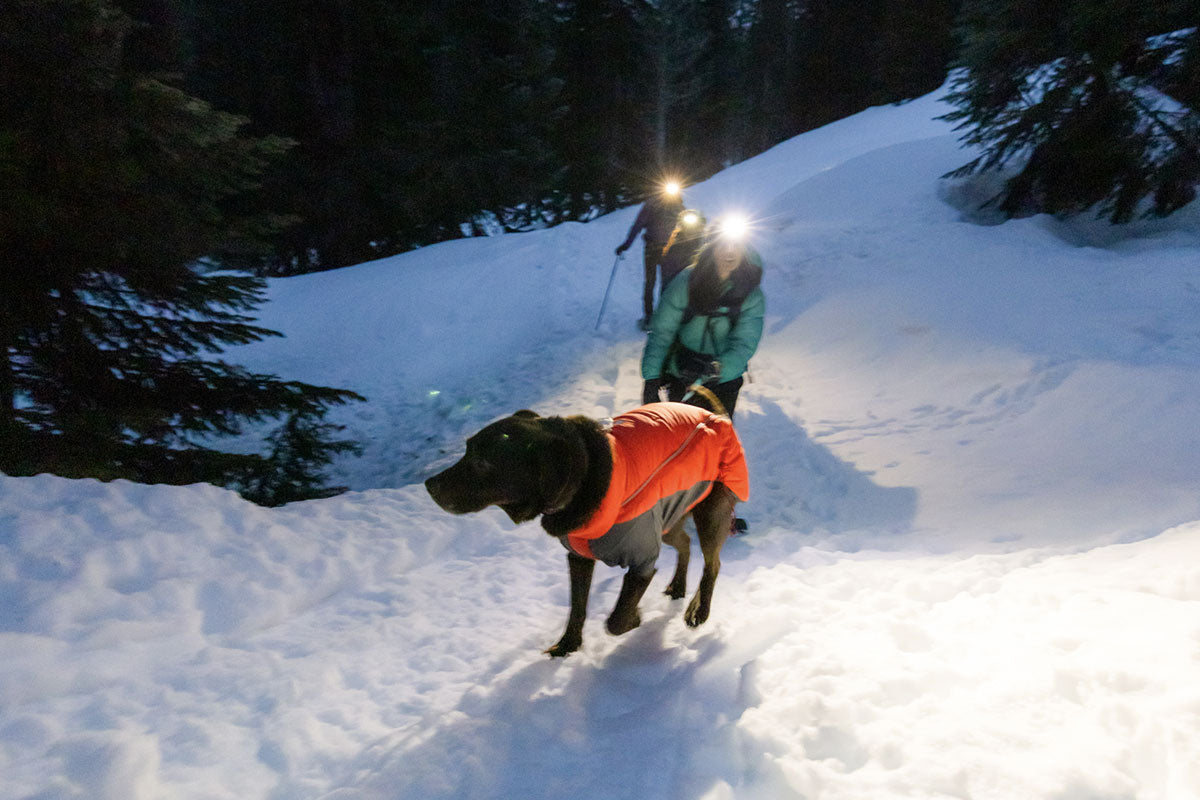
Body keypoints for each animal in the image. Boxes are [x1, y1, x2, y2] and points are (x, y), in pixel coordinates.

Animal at [424, 400, 748, 657]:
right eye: (467, 449)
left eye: (482, 463)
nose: (429, 484)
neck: (584, 483)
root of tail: (716, 415)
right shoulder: (578, 557)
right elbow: (577, 607)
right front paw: (567, 645)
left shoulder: (642, 560)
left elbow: (616, 620)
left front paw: (635, 617)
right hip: (669, 517)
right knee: (685, 544)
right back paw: (678, 586)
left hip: (710, 514)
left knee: (712, 564)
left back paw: (699, 610)